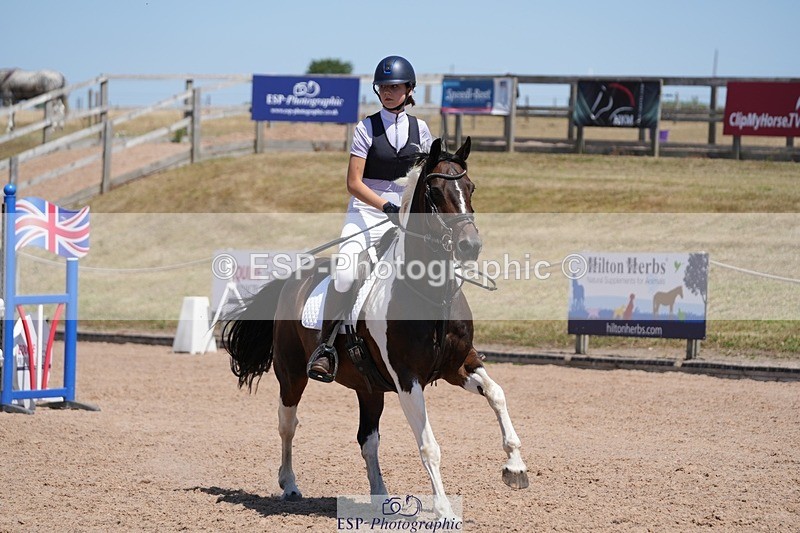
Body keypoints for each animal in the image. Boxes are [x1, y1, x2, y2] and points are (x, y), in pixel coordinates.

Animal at [222, 137, 529, 518]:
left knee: (367, 439)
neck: (431, 294)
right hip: (291, 373)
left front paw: (515, 467)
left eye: (470, 188)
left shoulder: (459, 365)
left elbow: (497, 394)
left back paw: (381, 497)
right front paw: (444, 509)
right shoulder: (407, 378)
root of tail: (293, 277)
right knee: (288, 424)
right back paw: (290, 484)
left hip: (368, 388)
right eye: (435, 191)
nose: (470, 246)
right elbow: (428, 445)